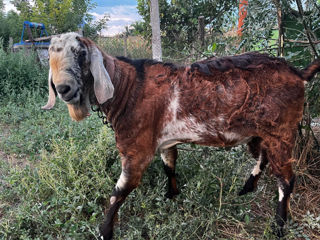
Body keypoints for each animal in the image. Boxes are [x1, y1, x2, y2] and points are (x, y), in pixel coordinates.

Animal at [42, 32, 320, 239]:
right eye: (50, 55)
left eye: (81, 54)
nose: (63, 88)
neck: (128, 88)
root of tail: (298, 73)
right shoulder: (165, 140)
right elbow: (169, 165)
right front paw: (171, 195)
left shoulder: (136, 148)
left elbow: (119, 191)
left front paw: (104, 231)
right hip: (264, 132)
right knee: (263, 157)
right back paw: (246, 188)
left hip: (282, 131)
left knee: (286, 180)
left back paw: (278, 227)